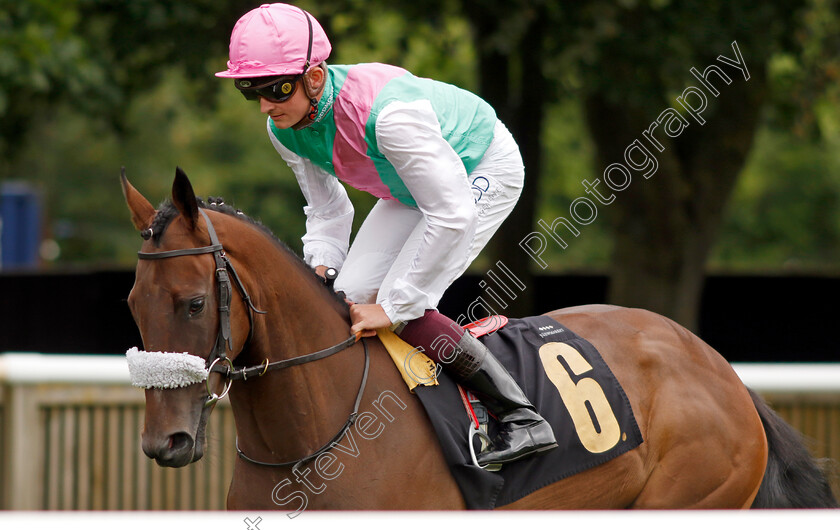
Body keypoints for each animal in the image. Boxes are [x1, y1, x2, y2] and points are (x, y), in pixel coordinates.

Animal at [121, 168, 836, 508]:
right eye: (133, 304)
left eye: (191, 303)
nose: (164, 442)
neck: (319, 432)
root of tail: (720, 369)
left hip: (691, 492)